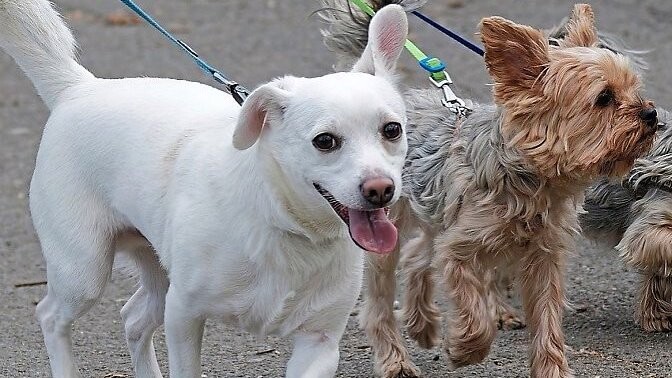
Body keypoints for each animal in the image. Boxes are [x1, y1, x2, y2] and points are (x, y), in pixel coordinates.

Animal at [0, 1, 410, 376]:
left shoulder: (318, 344)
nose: (380, 189)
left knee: (133, 318)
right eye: (325, 141)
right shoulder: (183, 315)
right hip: (83, 272)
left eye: (392, 130)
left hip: (157, 273)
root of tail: (80, 88)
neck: (283, 223)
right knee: (51, 316)